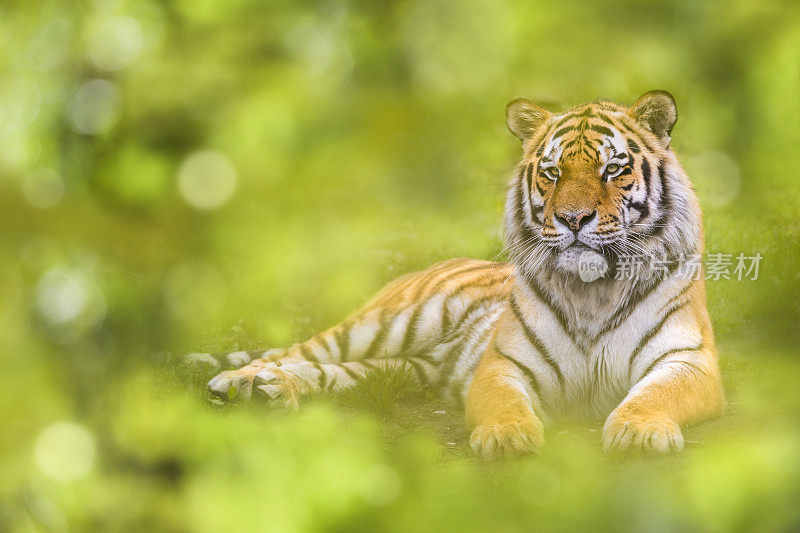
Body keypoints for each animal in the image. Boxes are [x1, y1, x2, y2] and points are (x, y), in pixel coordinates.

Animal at [192, 89, 724, 456]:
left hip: (399, 367)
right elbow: (504, 401)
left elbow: (655, 395)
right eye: (551, 173)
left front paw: (639, 430)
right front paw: (507, 437)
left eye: (613, 169)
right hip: (386, 324)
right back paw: (237, 382)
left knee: (333, 371)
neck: (594, 289)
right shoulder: (504, 364)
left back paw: (273, 391)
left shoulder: (687, 360)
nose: (573, 219)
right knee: (299, 351)